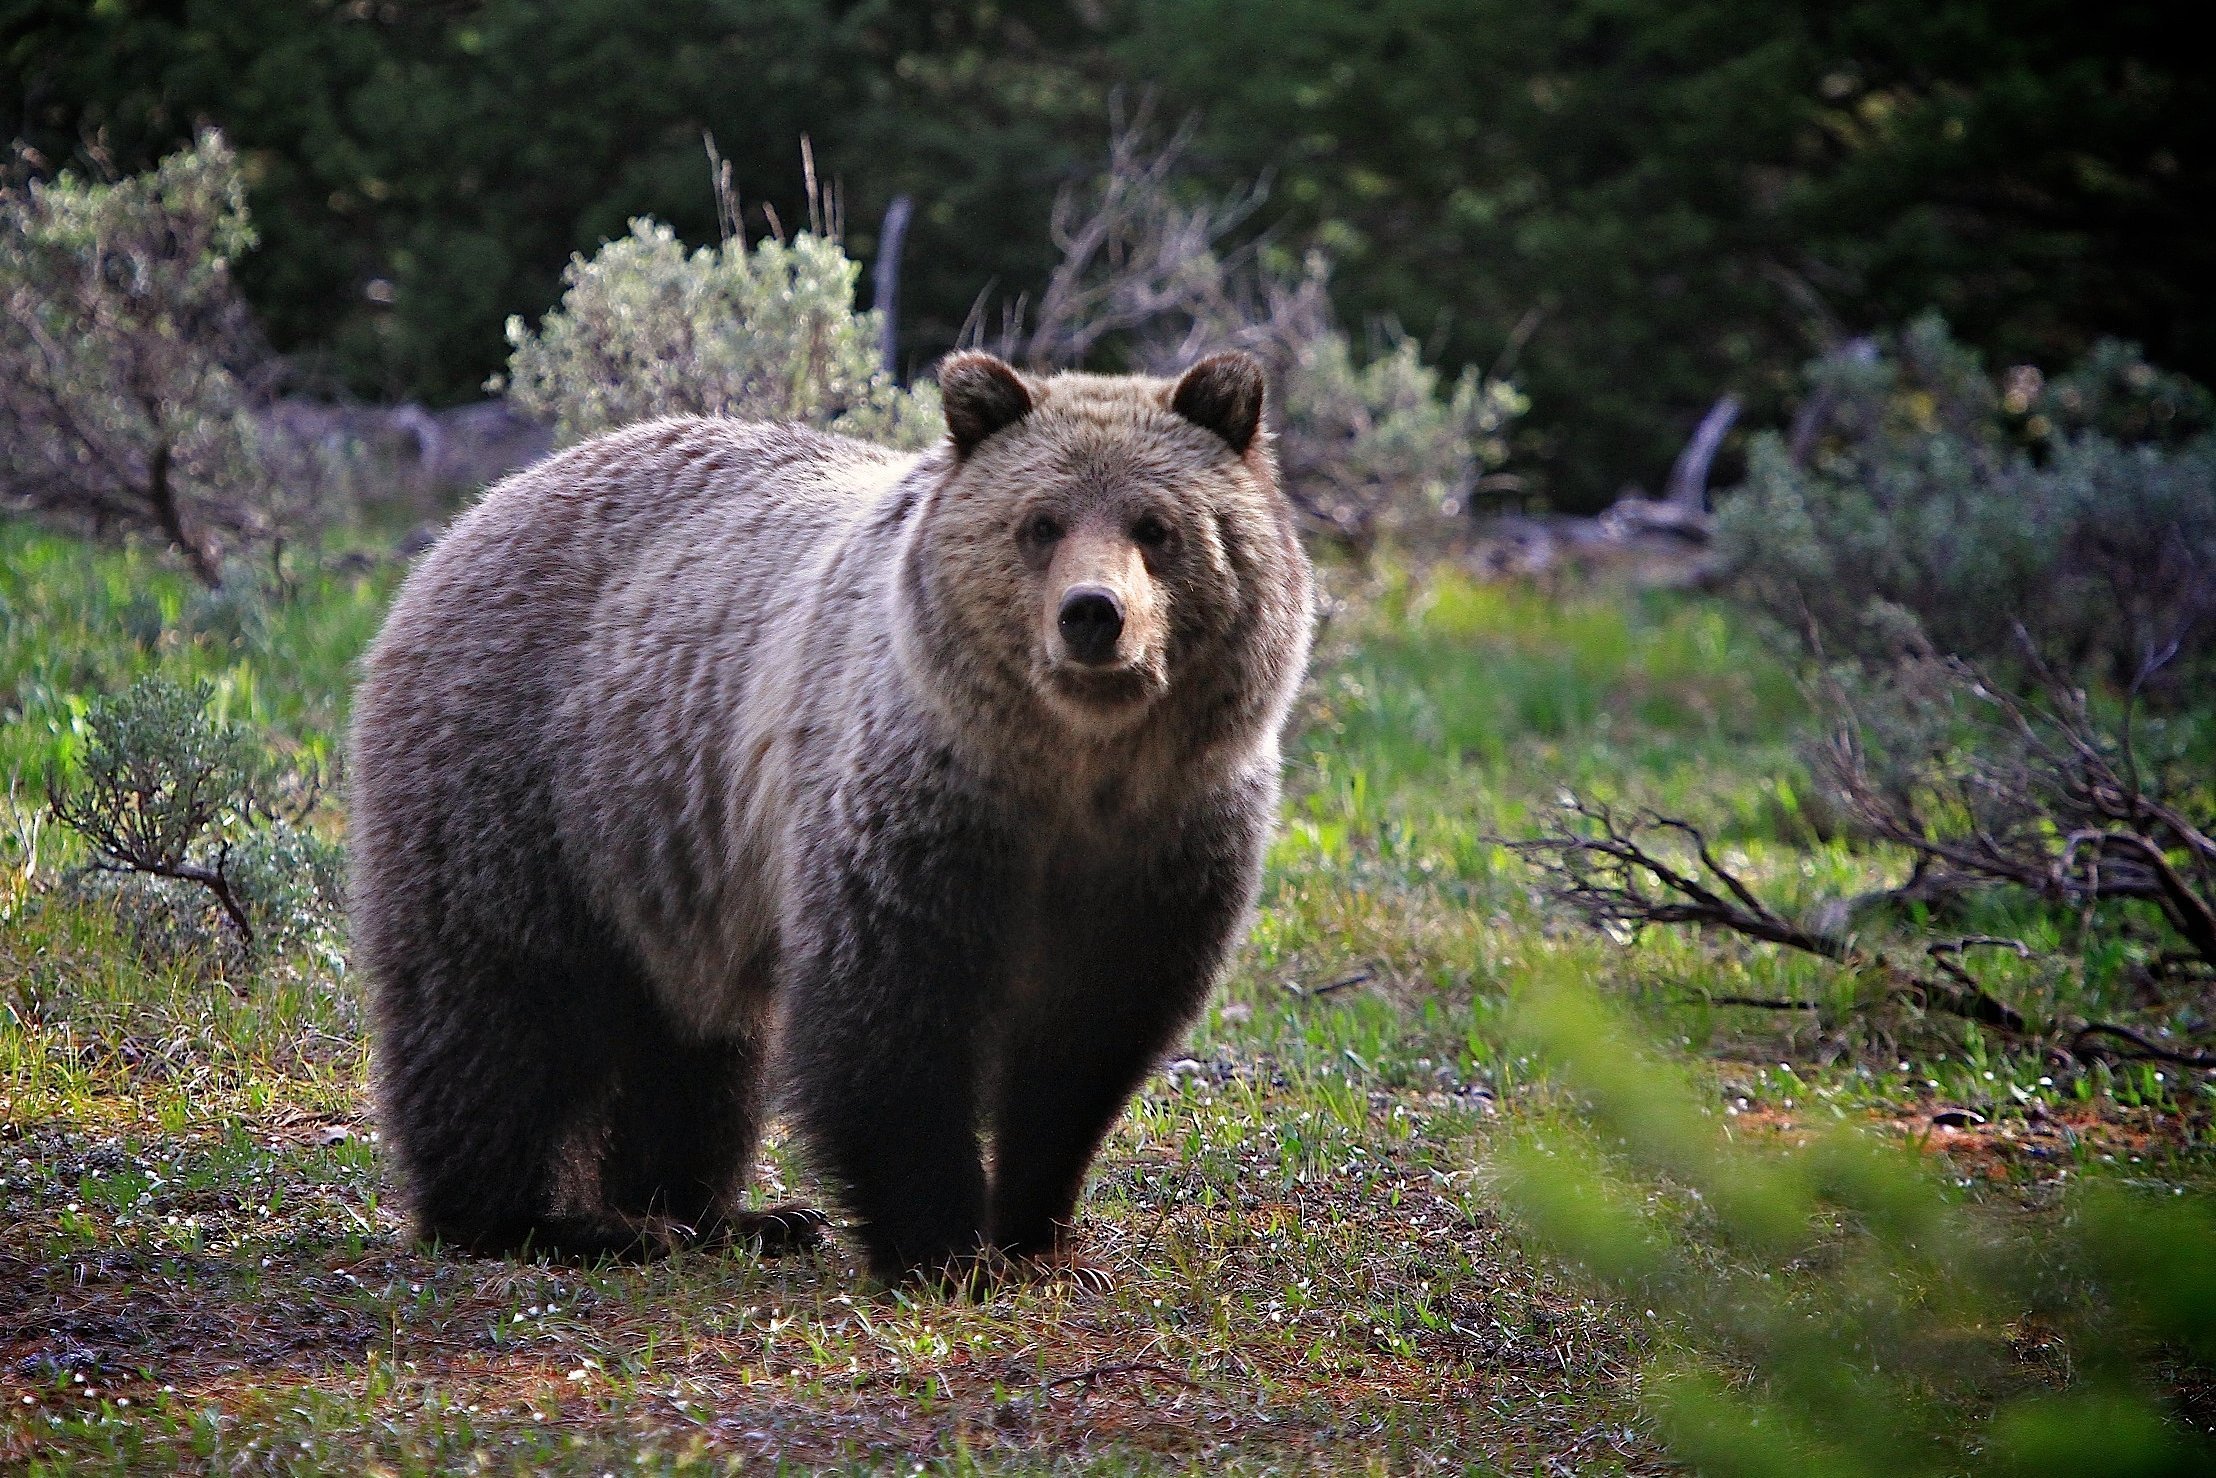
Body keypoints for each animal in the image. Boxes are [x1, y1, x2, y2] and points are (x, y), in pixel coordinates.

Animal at [347, 350, 1311, 1285]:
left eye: (1156, 526)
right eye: (1041, 523)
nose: (1092, 614)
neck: (1071, 770)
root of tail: (479, 510)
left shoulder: (1168, 839)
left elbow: (1090, 1043)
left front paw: (1039, 1234)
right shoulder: (914, 806)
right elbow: (889, 1016)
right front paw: (943, 1246)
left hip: (668, 865)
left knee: (698, 1045)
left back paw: (723, 1216)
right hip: (527, 784)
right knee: (497, 1006)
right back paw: (549, 1222)